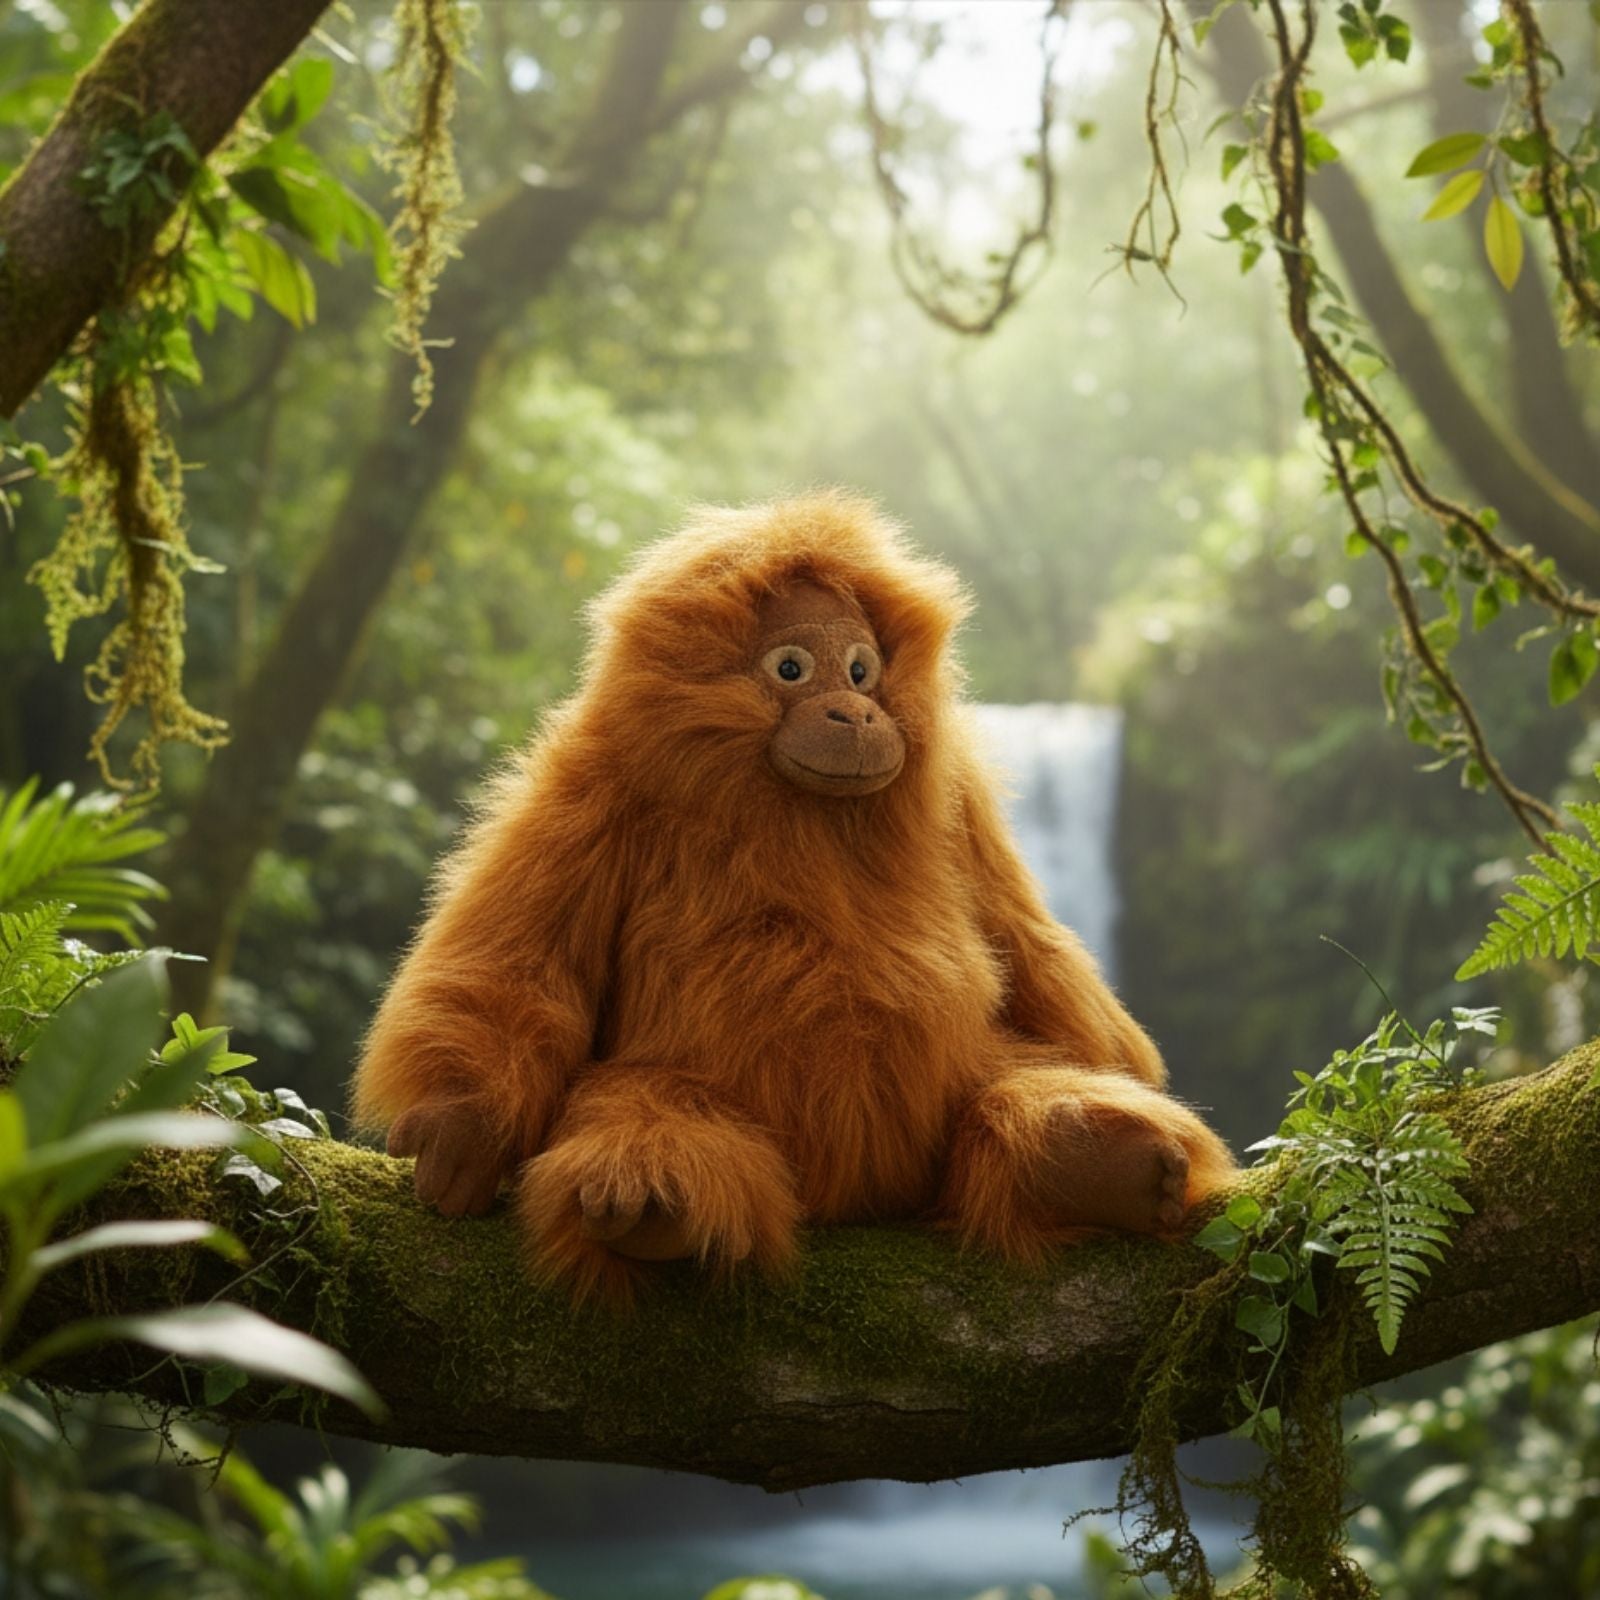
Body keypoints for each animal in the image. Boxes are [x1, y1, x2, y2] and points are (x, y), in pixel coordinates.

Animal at [353, 491, 1237, 1302]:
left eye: (861, 669)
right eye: (791, 669)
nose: (856, 713)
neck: (804, 813)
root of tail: (853, 1195)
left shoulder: (961, 810)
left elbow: (1026, 943)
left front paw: (1121, 1064)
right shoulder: (588, 795)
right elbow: (520, 956)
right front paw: (458, 1136)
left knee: (1003, 1086)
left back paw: (1110, 1161)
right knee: (649, 1108)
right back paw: (649, 1200)